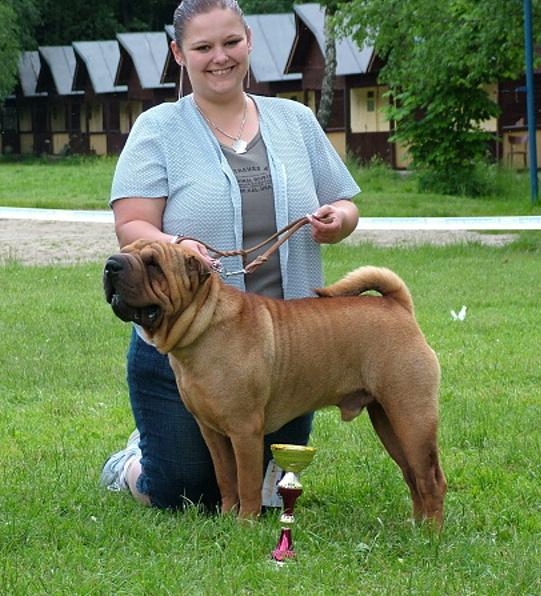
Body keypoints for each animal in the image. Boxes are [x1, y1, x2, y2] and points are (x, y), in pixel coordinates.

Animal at [103, 240, 446, 524]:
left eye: (153, 264)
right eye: (124, 250)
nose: (111, 264)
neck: (205, 324)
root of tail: (398, 307)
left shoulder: (245, 430)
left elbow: (247, 481)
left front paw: (245, 523)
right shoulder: (212, 432)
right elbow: (226, 478)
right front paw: (226, 517)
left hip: (412, 417)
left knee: (431, 479)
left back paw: (431, 535)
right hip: (389, 421)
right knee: (412, 474)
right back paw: (416, 526)